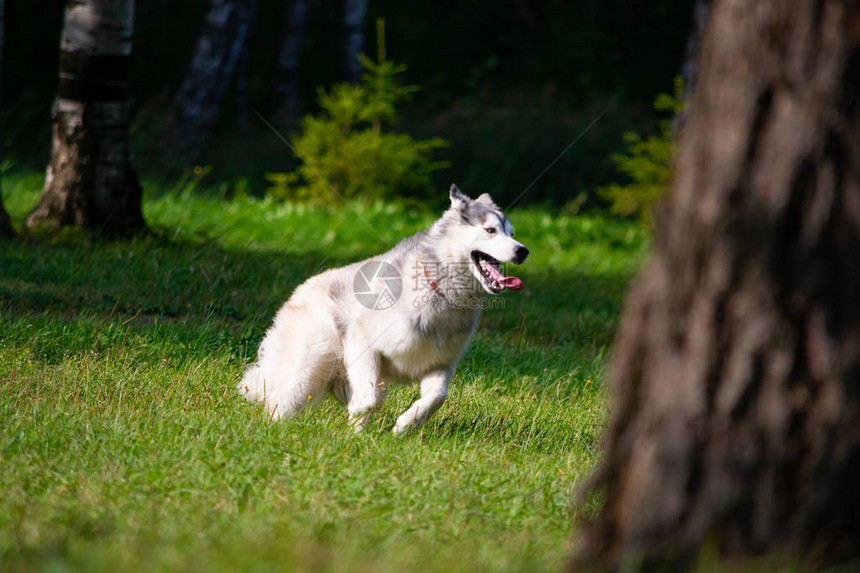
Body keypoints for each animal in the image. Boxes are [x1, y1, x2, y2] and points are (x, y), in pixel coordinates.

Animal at [239, 184, 528, 434]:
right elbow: (367, 401)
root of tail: (301, 289)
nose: (522, 251)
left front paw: (405, 425)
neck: (442, 293)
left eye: (512, 234)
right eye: (490, 230)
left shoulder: (441, 364)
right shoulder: (364, 343)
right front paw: (356, 435)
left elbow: (437, 398)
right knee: (282, 400)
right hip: (311, 367)